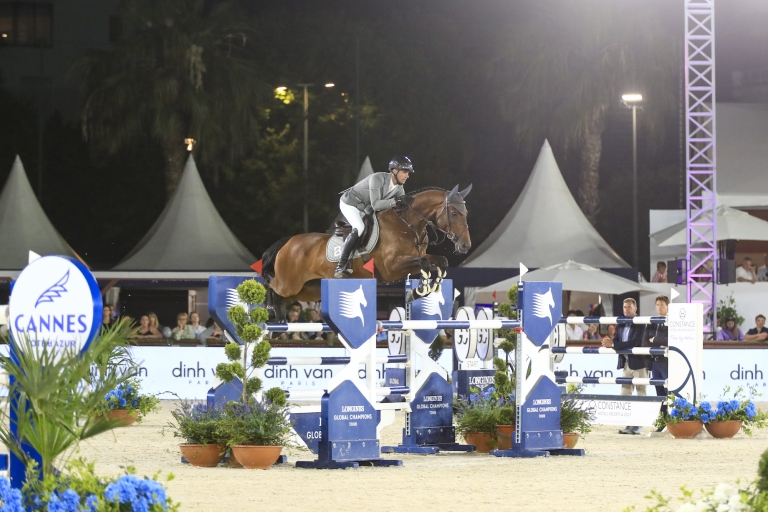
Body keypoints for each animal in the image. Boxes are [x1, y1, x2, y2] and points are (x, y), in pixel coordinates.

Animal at [261, 184, 473, 318]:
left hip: (307, 290)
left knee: (284, 295)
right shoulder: (391, 268)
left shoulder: (414, 260)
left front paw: (423, 290)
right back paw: (270, 308)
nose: (465, 245)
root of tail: (288, 241)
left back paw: (279, 311)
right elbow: (425, 264)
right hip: (289, 283)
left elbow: (440, 261)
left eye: (466, 213)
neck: (408, 225)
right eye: (454, 213)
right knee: (270, 283)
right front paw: (419, 290)